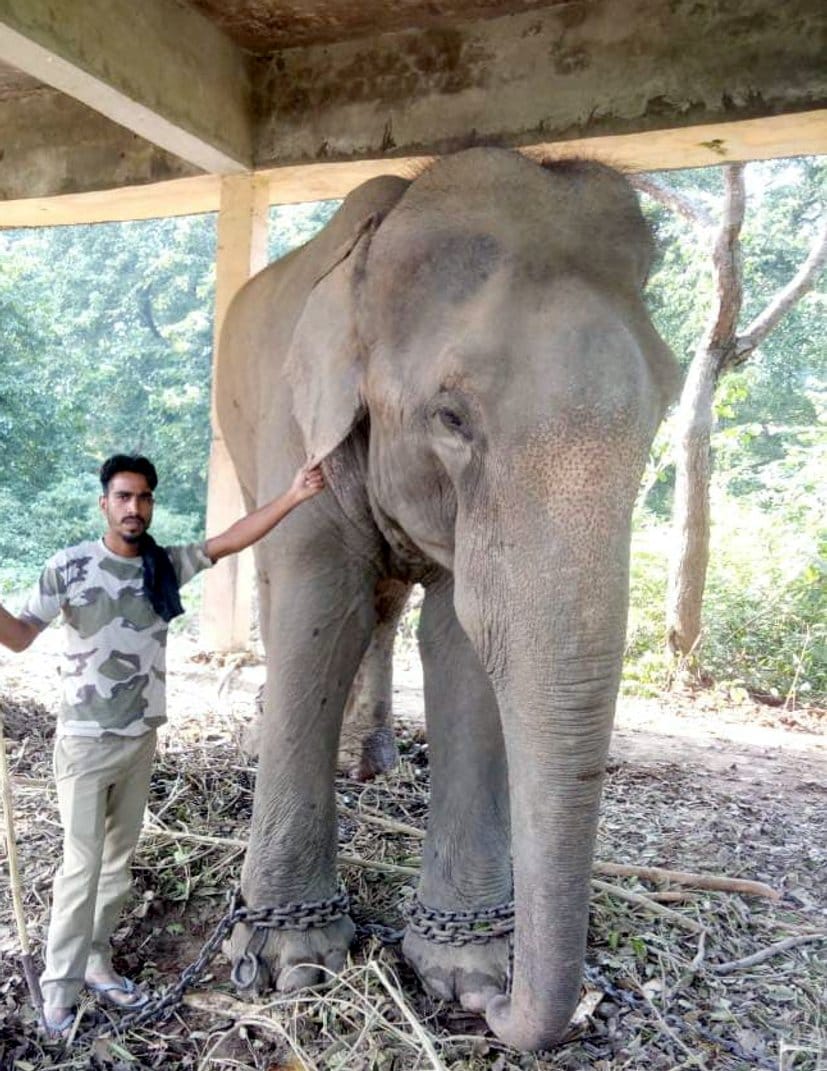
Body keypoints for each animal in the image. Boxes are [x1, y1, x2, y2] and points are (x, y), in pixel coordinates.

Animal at [216, 147, 680, 1051]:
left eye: (665, 407)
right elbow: (317, 607)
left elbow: (464, 635)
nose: (503, 1010)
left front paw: (466, 970)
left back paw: (371, 759)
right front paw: (292, 961)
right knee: (284, 588)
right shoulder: (298, 422)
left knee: (387, 606)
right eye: (451, 416)